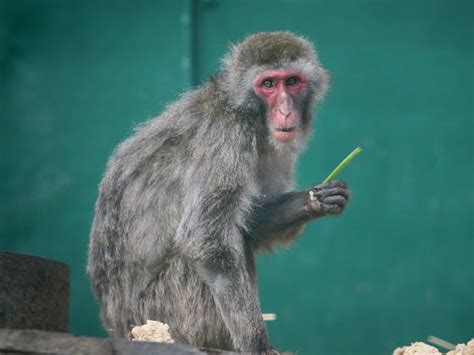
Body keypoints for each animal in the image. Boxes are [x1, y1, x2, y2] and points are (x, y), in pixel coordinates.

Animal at [87, 31, 350, 354]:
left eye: (292, 82)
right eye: (268, 84)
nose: (285, 110)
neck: (243, 111)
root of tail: (117, 327)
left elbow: (251, 227)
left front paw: (316, 200)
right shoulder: (227, 136)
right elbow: (205, 239)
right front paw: (257, 343)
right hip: (163, 313)